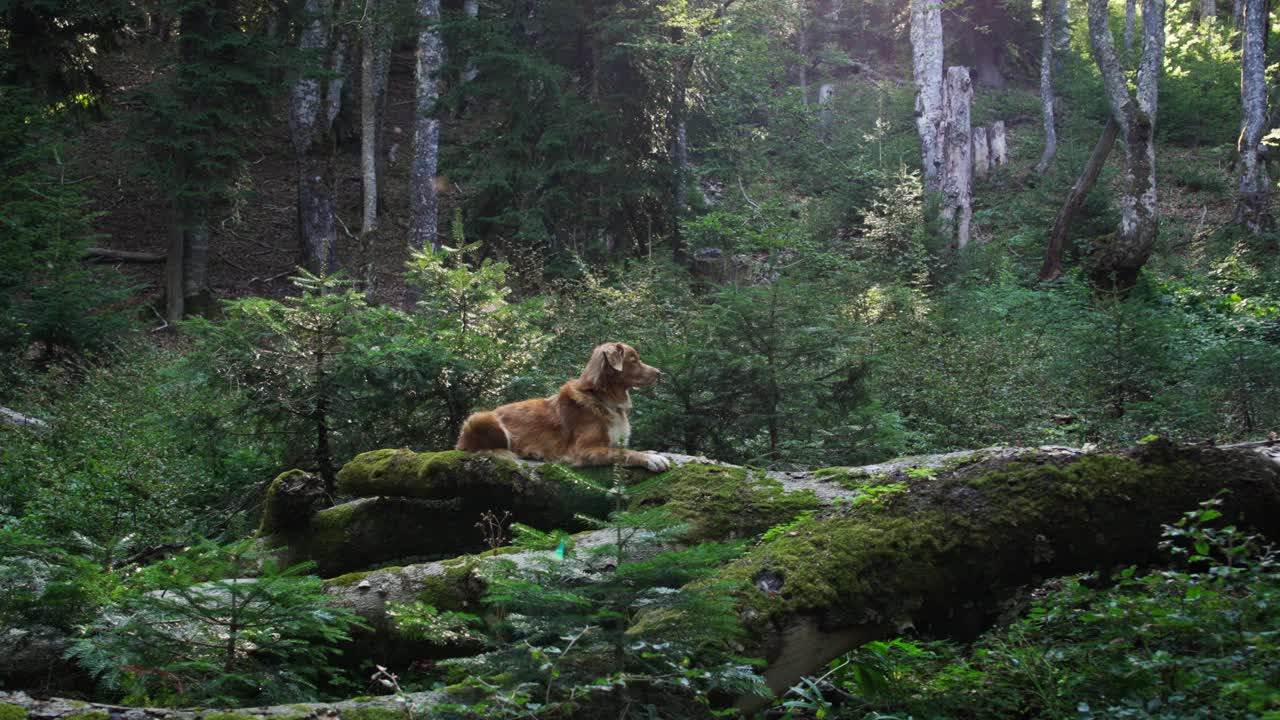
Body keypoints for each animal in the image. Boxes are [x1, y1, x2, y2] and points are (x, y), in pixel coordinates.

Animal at [458, 340, 675, 471]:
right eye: (634, 360)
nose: (659, 373)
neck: (601, 398)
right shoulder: (586, 450)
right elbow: (623, 453)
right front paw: (650, 459)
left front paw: (652, 452)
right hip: (480, 417)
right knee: (480, 449)